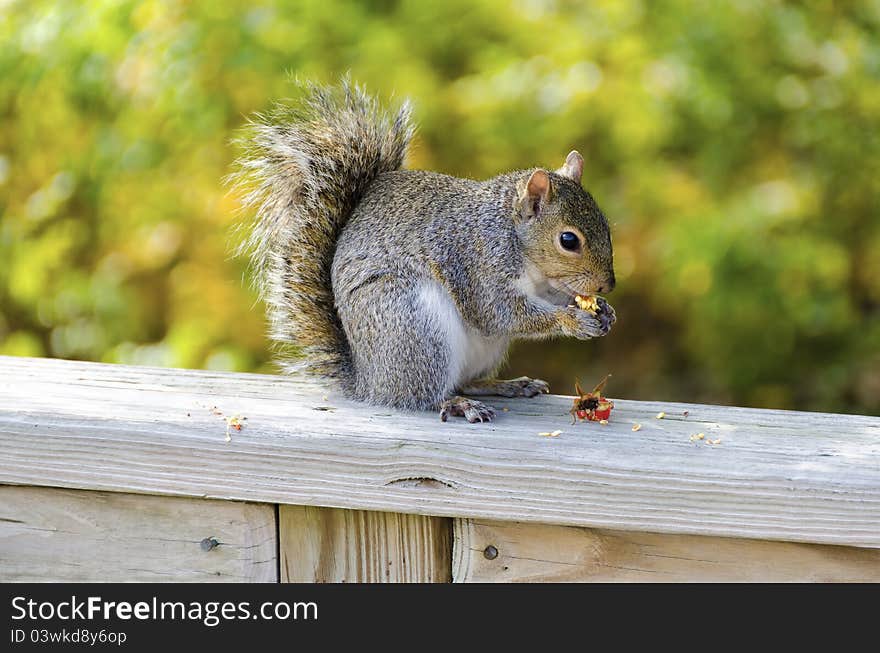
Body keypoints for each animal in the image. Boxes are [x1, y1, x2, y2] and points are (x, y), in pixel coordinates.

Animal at [234, 81, 620, 422]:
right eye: (568, 240)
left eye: (605, 223)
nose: (608, 285)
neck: (516, 242)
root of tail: (369, 381)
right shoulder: (477, 263)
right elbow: (498, 313)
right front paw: (573, 319)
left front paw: (603, 311)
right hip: (413, 326)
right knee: (424, 395)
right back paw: (457, 405)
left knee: (464, 381)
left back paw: (506, 385)